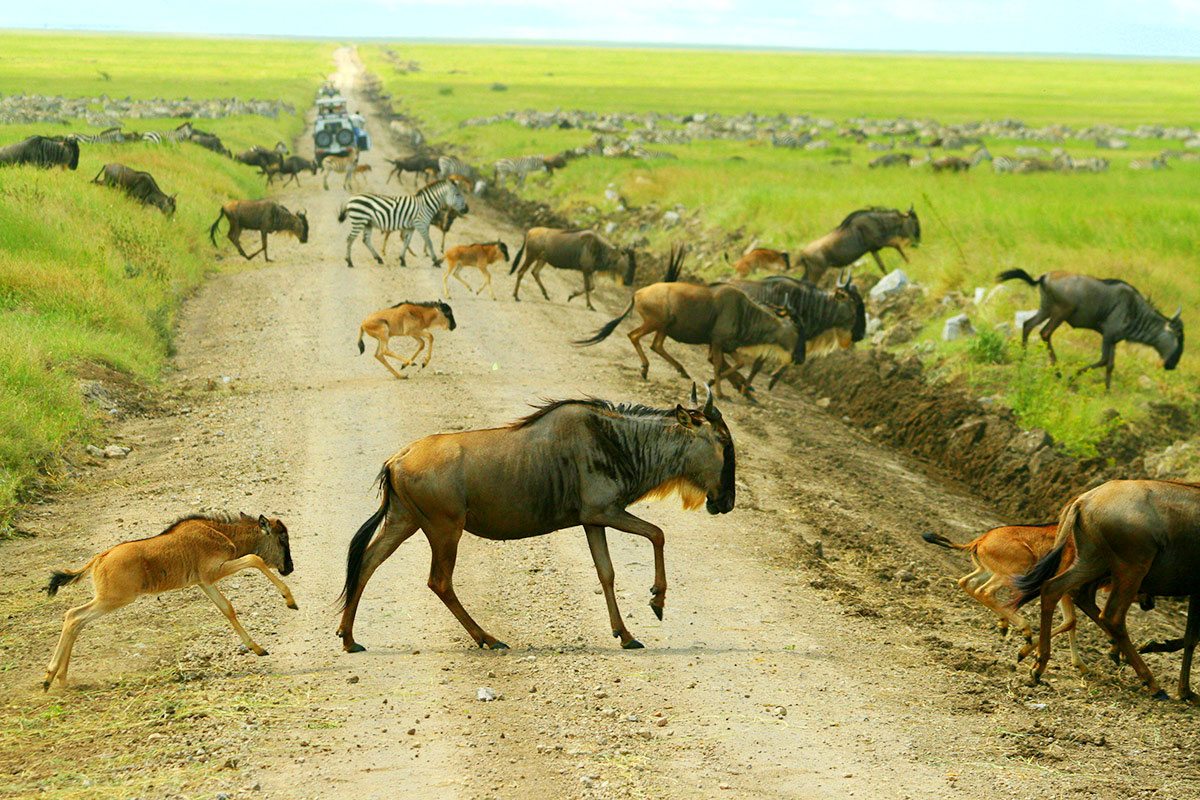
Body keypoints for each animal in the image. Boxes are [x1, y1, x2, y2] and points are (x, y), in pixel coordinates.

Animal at [340, 178, 470, 268]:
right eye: (458, 194)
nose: (467, 209)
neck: (426, 205)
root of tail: (351, 198)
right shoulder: (421, 224)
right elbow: (429, 242)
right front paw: (436, 261)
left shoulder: (411, 227)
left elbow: (406, 242)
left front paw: (402, 260)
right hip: (359, 221)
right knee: (350, 239)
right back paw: (349, 262)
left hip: (368, 223)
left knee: (365, 240)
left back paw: (378, 259)